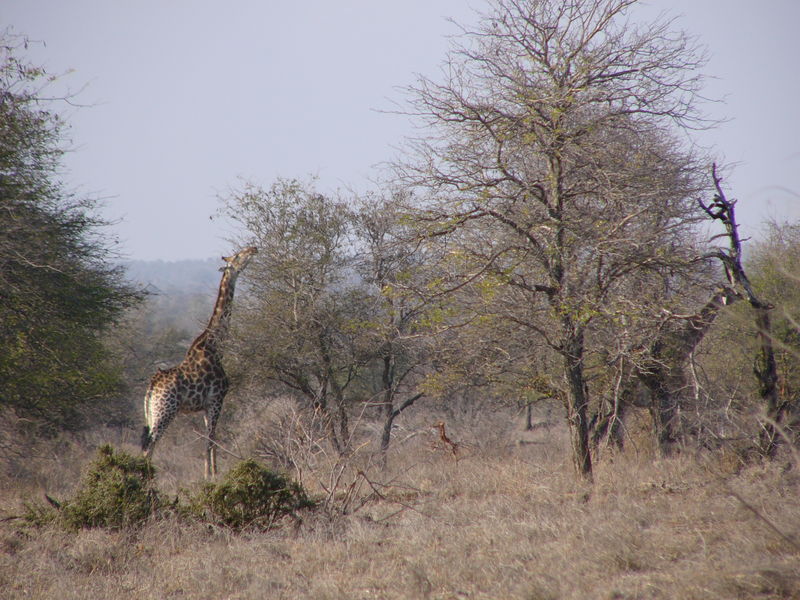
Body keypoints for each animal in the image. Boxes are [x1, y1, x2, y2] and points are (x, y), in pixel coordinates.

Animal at [141, 245, 256, 478]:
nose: (254, 248)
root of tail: (151, 388)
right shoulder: (217, 399)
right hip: (165, 411)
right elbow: (210, 440)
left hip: (151, 414)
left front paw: (214, 473)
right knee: (150, 447)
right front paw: (209, 477)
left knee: (147, 447)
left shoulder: (206, 405)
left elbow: (212, 439)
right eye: (238, 256)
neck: (216, 347)